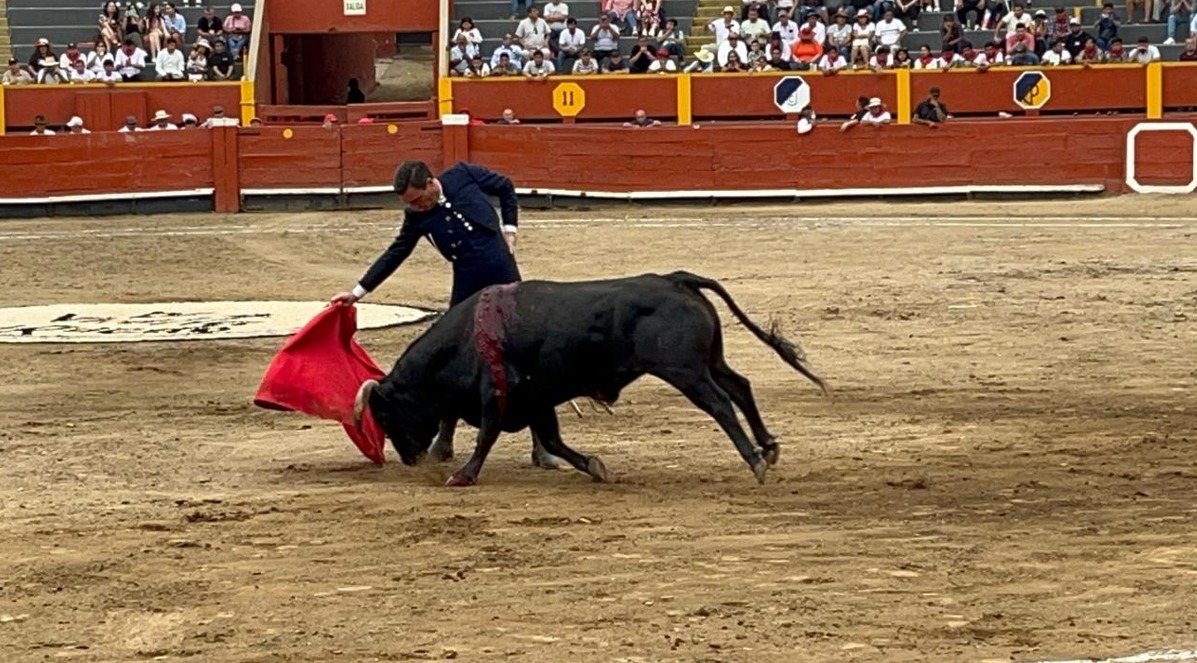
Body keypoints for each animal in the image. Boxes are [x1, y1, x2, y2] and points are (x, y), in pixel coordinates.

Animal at [349, 269, 828, 485]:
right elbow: (554, 438)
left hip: (684, 371)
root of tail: (675, 280)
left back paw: (755, 460)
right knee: (740, 386)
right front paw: (594, 466)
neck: (469, 334)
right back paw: (769, 448)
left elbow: (486, 435)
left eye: (385, 416)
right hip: (709, 361)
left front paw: (464, 475)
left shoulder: (497, 394)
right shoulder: (535, 401)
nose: (408, 458)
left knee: (721, 403)